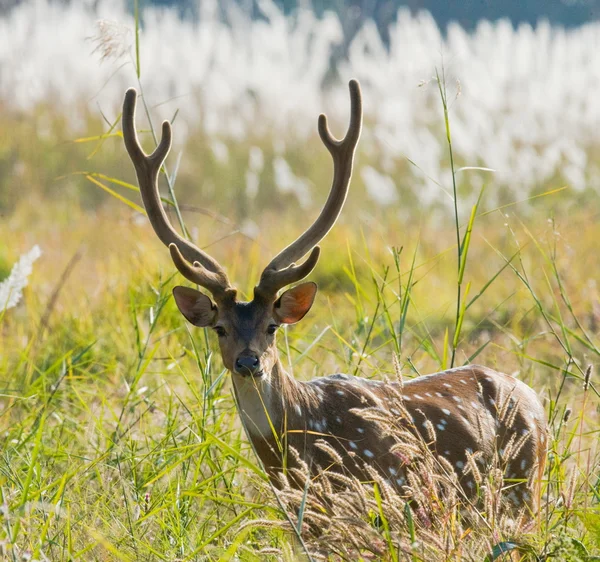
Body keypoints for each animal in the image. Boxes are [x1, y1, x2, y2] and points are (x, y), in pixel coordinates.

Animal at [122, 79, 548, 512]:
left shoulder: (388, 487)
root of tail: (534, 397)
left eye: (272, 326)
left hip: (523, 485)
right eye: (220, 328)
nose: (248, 362)